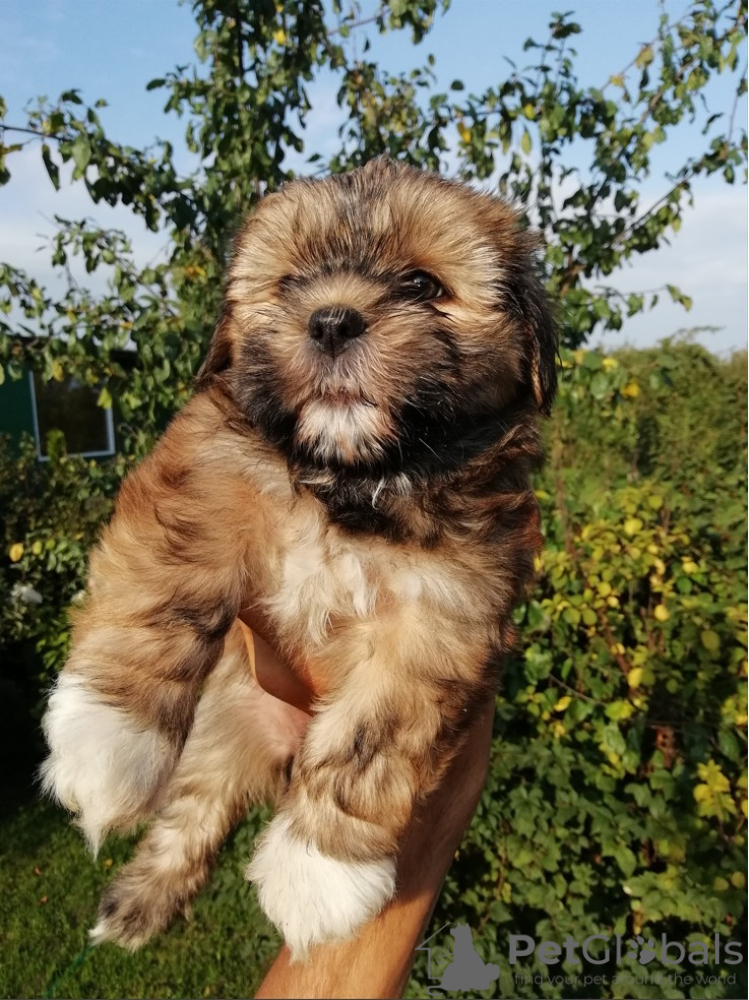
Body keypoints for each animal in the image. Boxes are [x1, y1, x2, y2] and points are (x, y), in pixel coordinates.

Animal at [40, 158, 557, 958]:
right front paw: (105, 739)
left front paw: (318, 871)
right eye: (288, 285)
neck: (352, 485)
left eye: (422, 286)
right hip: (229, 718)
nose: (332, 319)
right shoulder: (209, 475)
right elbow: (167, 586)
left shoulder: (446, 609)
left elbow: (371, 733)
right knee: (192, 810)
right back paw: (139, 897)